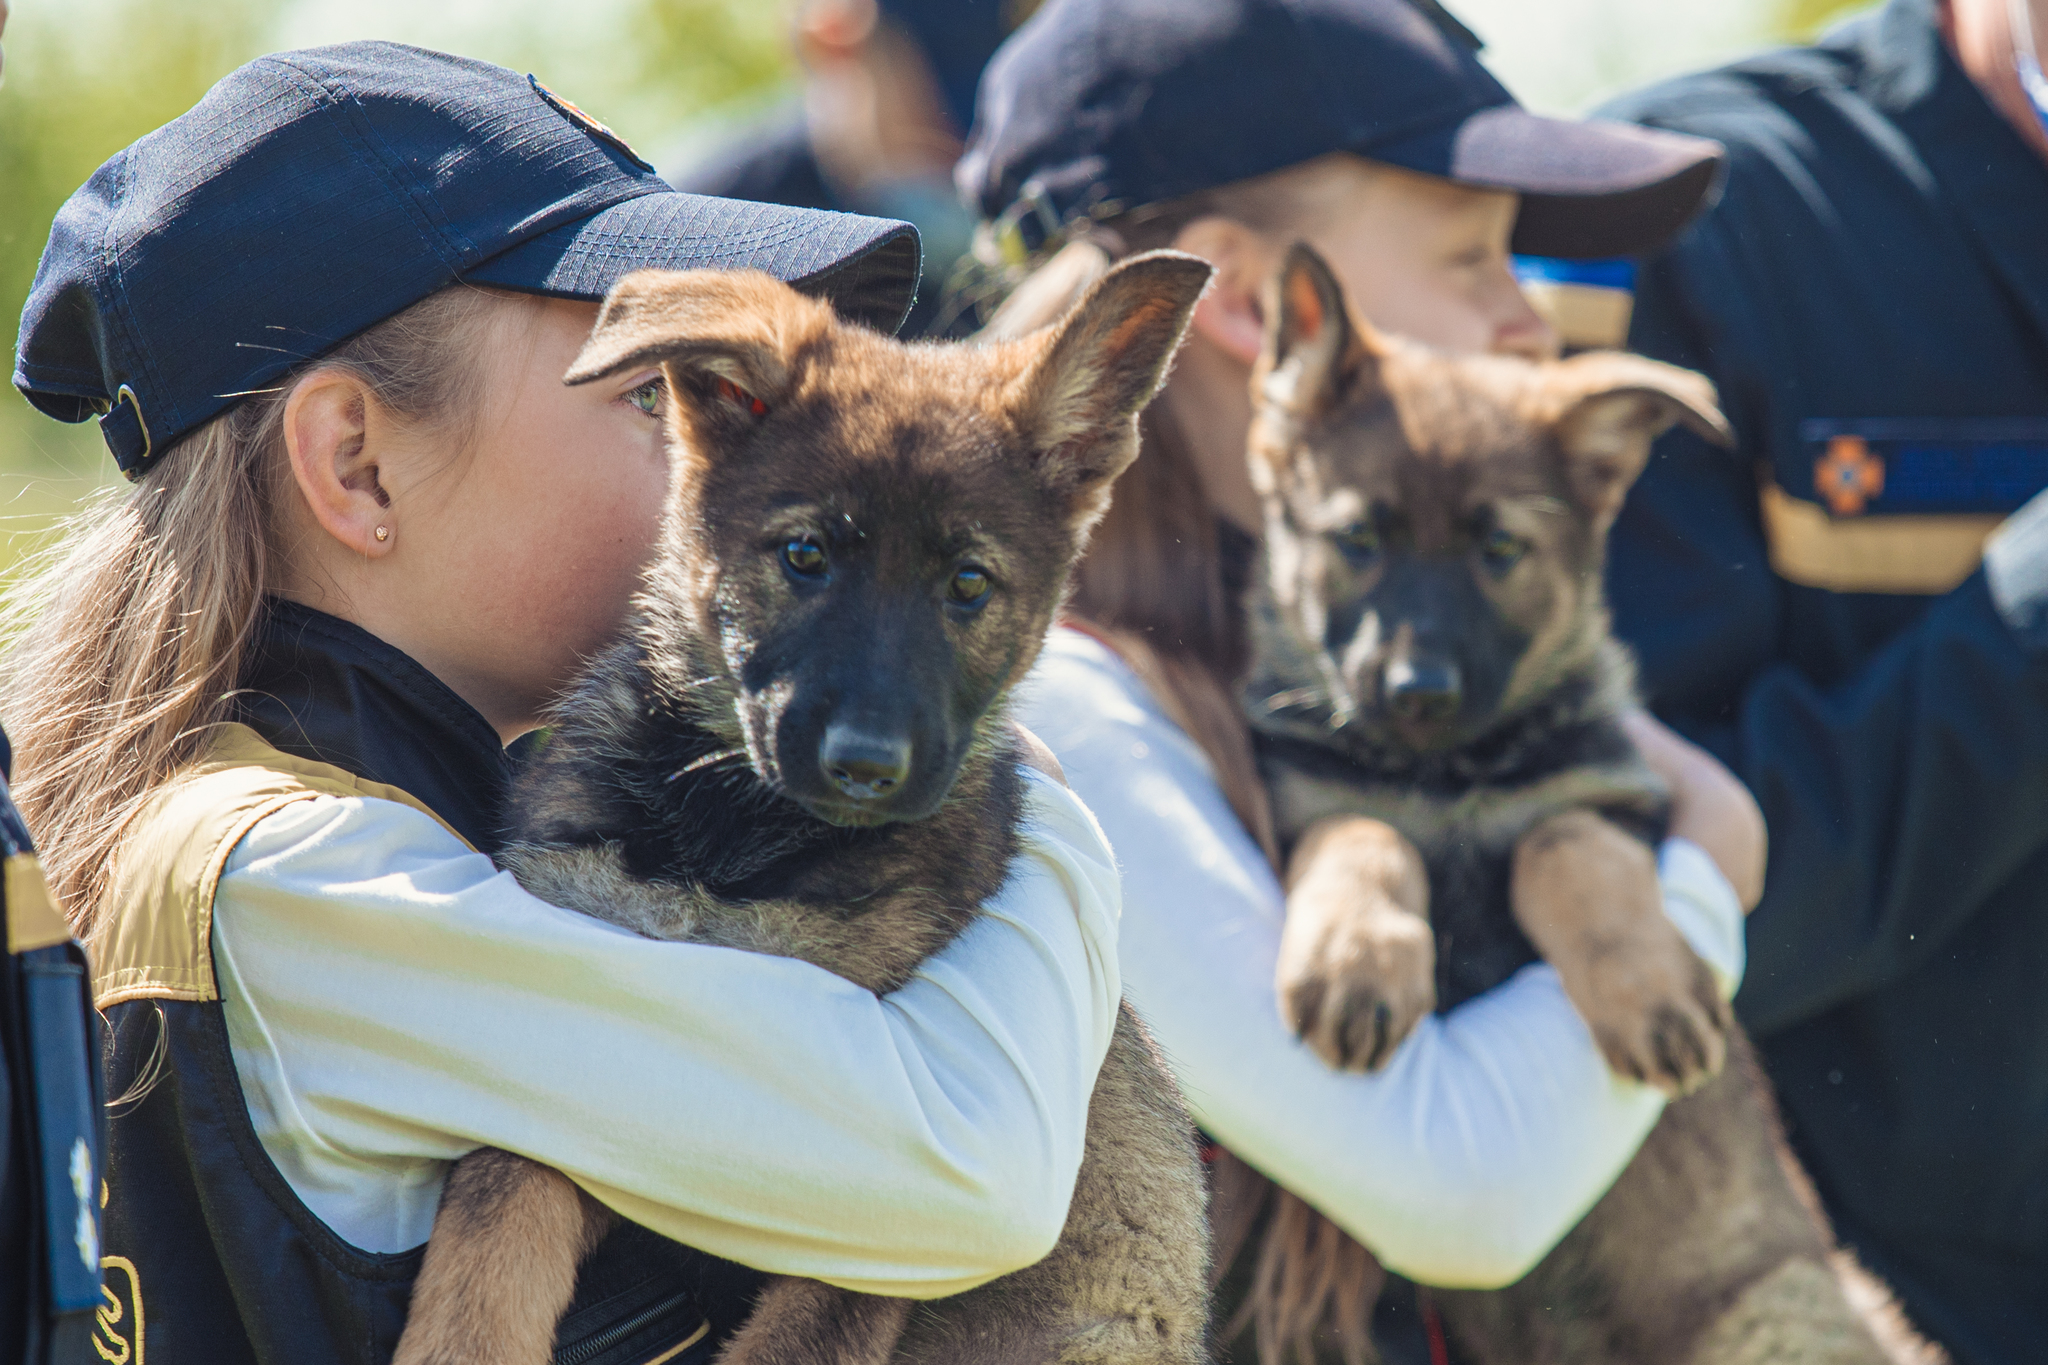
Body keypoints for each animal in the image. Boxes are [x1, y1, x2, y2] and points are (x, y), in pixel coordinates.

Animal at [391, 250, 1212, 1365]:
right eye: (805, 556)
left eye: (967, 584)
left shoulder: (878, 1213)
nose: (865, 766)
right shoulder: (568, 1053)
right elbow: (489, 1233)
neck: (729, 835)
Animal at [1236, 245, 1925, 1365]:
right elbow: (1367, 829)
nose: (1416, 692)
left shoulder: (1616, 803)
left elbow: (1559, 845)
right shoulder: (1308, 804)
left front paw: (1648, 995)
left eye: (1499, 550)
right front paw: (1354, 958)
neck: (1450, 773)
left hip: (1774, 1313)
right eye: (1358, 539)